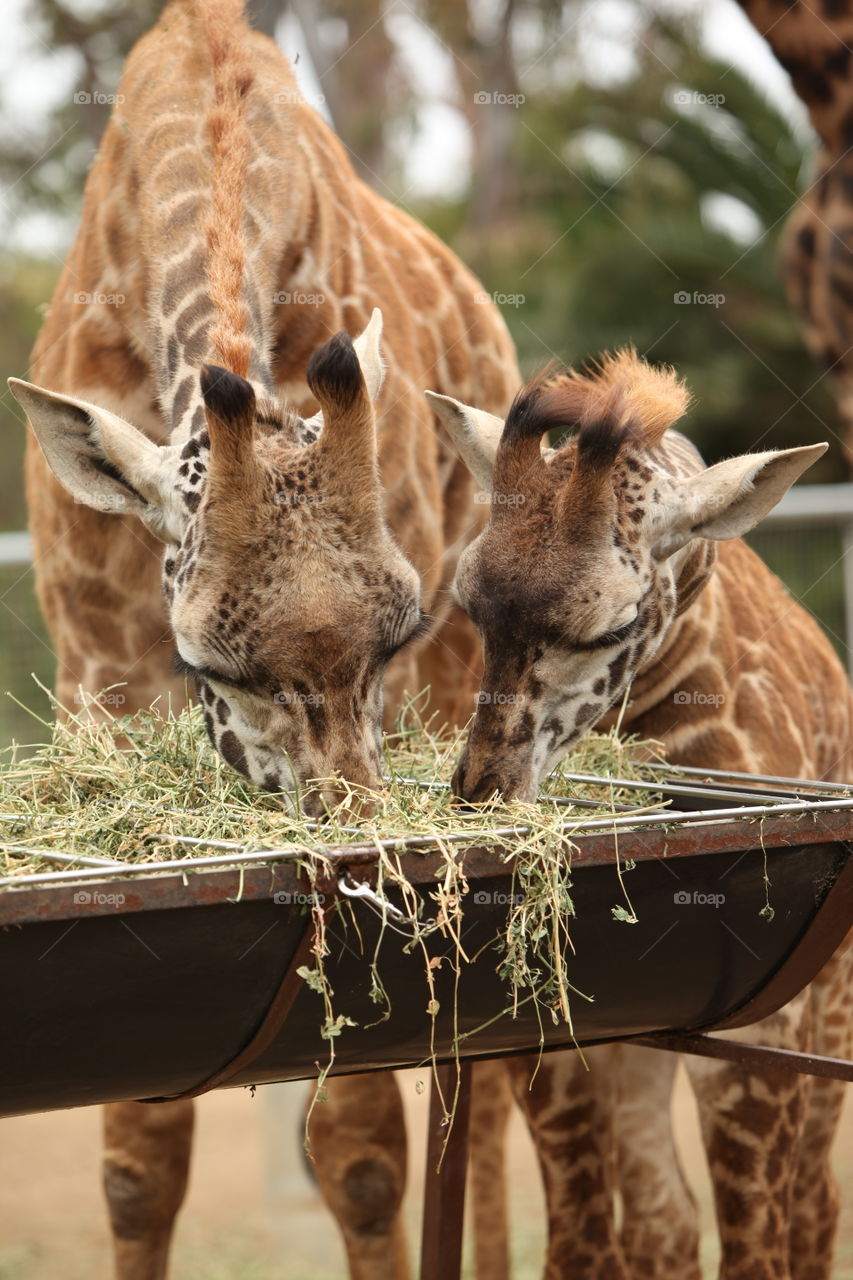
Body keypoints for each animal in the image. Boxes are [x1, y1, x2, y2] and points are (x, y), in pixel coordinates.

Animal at [8, 5, 517, 1274]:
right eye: (210, 663)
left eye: (394, 633)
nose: (359, 848)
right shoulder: (100, 669)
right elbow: (138, 1160)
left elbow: (363, 1150)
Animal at [427, 350, 850, 1280]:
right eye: (470, 605)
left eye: (609, 624)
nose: (482, 789)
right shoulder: (557, 1048)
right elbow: (591, 1242)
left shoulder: (761, 1043)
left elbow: (756, 1248)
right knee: (664, 1221)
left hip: (829, 1012)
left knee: (810, 1209)